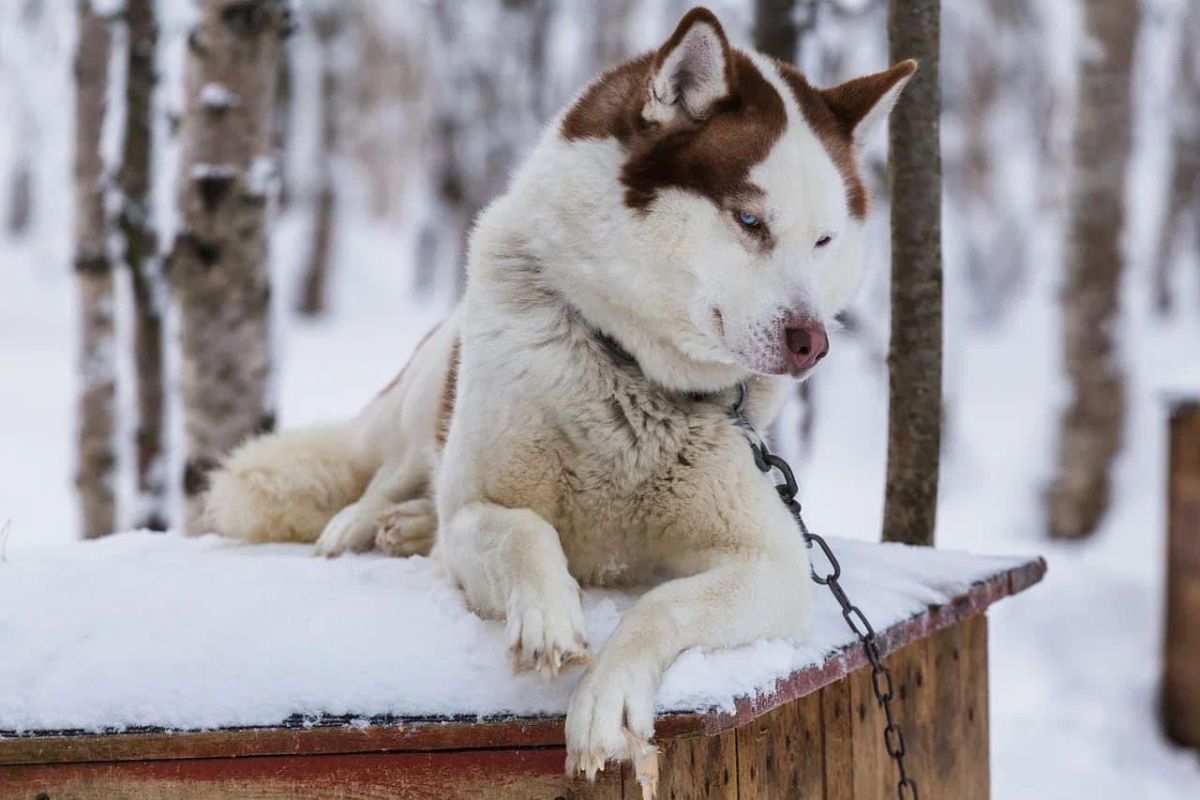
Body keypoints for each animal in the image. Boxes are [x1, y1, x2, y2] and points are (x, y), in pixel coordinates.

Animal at [208, 7, 916, 796]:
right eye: (750, 221)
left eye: (824, 240)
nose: (811, 342)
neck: (631, 368)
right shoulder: (480, 508)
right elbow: (520, 530)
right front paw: (546, 614)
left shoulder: (776, 568)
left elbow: (660, 605)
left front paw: (607, 697)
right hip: (432, 386)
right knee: (394, 471)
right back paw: (365, 523)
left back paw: (408, 527)